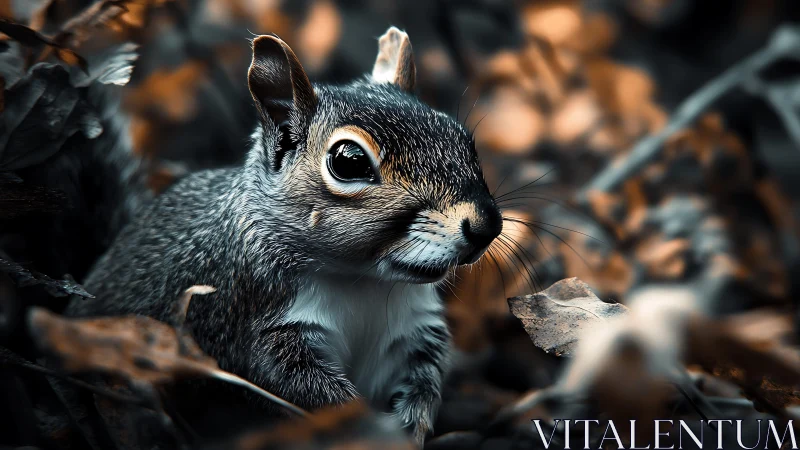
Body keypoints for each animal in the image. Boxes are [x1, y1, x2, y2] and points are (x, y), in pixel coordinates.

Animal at [65, 27, 503, 445]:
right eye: (349, 161)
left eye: (464, 139)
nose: (486, 227)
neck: (363, 283)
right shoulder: (254, 326)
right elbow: (308, 394)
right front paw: (377, 430)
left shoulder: (414, 330)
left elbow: (424, 380)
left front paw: (413, 422)